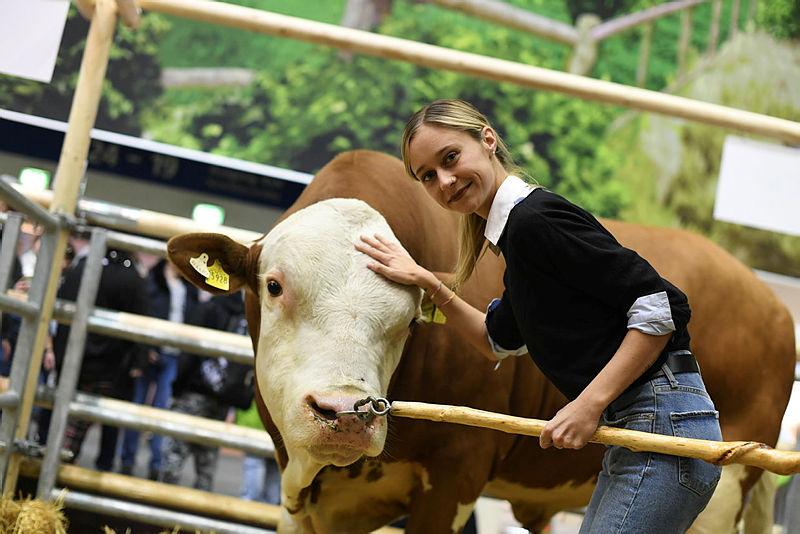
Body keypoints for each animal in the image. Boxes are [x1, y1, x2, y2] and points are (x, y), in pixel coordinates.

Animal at [167, 151, 792, 534]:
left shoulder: (453, 484)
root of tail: (773, 304)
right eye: (274, 286)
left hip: (721, 491)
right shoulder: (297, 494)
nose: (346, 413)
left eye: (409, 321)